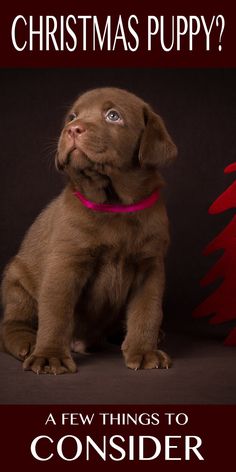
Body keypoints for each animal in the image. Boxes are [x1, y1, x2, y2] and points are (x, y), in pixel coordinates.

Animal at [0, 86, 177, 374]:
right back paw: (27, 342)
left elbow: (147, 312)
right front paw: (49, 355)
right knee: (11, 325)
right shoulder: (65, 263)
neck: (114, 204)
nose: (72, 129)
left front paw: (144, 351)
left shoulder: (150, 267)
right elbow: (56, 313)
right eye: (72, 116)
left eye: (113, 115)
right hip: (16, 283)